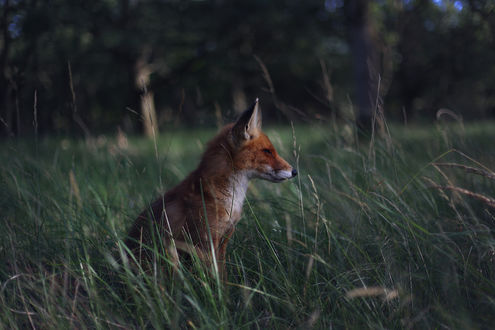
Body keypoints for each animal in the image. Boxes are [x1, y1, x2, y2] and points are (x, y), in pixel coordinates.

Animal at [126, 98, 296, 276]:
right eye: (267, 151)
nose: (295, 171)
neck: (228, 199)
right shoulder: (206, 242)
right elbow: (214, 277)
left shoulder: (224, 239)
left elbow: (223, 275)